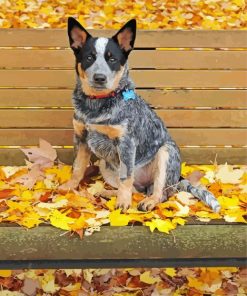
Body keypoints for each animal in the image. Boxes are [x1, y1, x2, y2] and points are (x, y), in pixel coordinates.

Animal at [60, 17, 221, 213]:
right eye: (89, 57)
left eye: (112, 59)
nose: (99, 78)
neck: (96, 105)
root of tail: (178, 179)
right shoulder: (81, 137)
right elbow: (77, 167)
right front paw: (69, 187)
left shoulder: (126, 143)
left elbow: (126, 178)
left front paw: (123, 203)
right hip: (105, 165)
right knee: (136, 190)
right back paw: (109, 193)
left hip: (166, 153)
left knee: (161, 193)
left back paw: (148, 201)